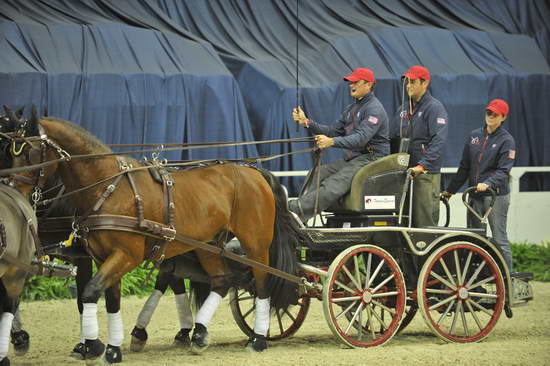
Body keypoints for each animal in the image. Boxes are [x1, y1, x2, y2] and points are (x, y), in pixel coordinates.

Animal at [6, 116, 302, 360]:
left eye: (30, 152)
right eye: (10, 151)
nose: (10, 189)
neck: (108, 188)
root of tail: (254, 172)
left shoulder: (125, 255)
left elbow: (89, 292)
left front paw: (92, 346)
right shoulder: (103, 257)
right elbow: (109, 298)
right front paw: (111, 349)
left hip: (256, 243)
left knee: (262, 283)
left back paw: (258, 339)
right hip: (208, 244)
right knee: (222, 280)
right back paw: (199, 334)